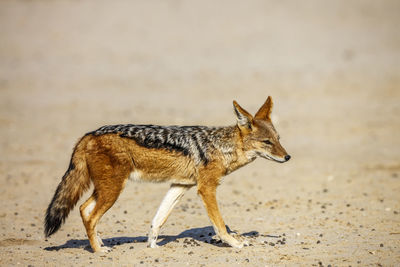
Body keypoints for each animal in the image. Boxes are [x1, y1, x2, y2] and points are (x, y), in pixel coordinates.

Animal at [43, 97, 290, 253]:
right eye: (267, 142)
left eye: (278, 139)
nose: (288, 157)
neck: (220, 147)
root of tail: (89, 134)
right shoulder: (206, 189)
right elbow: (219, 223)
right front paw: (234, 243)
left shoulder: (180, 186)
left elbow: (157, 220)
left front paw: (152, 246)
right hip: (113, 190)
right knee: (90, 215)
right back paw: (98, 250)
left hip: (106, 190)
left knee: (84, 210)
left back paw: (99, 243)